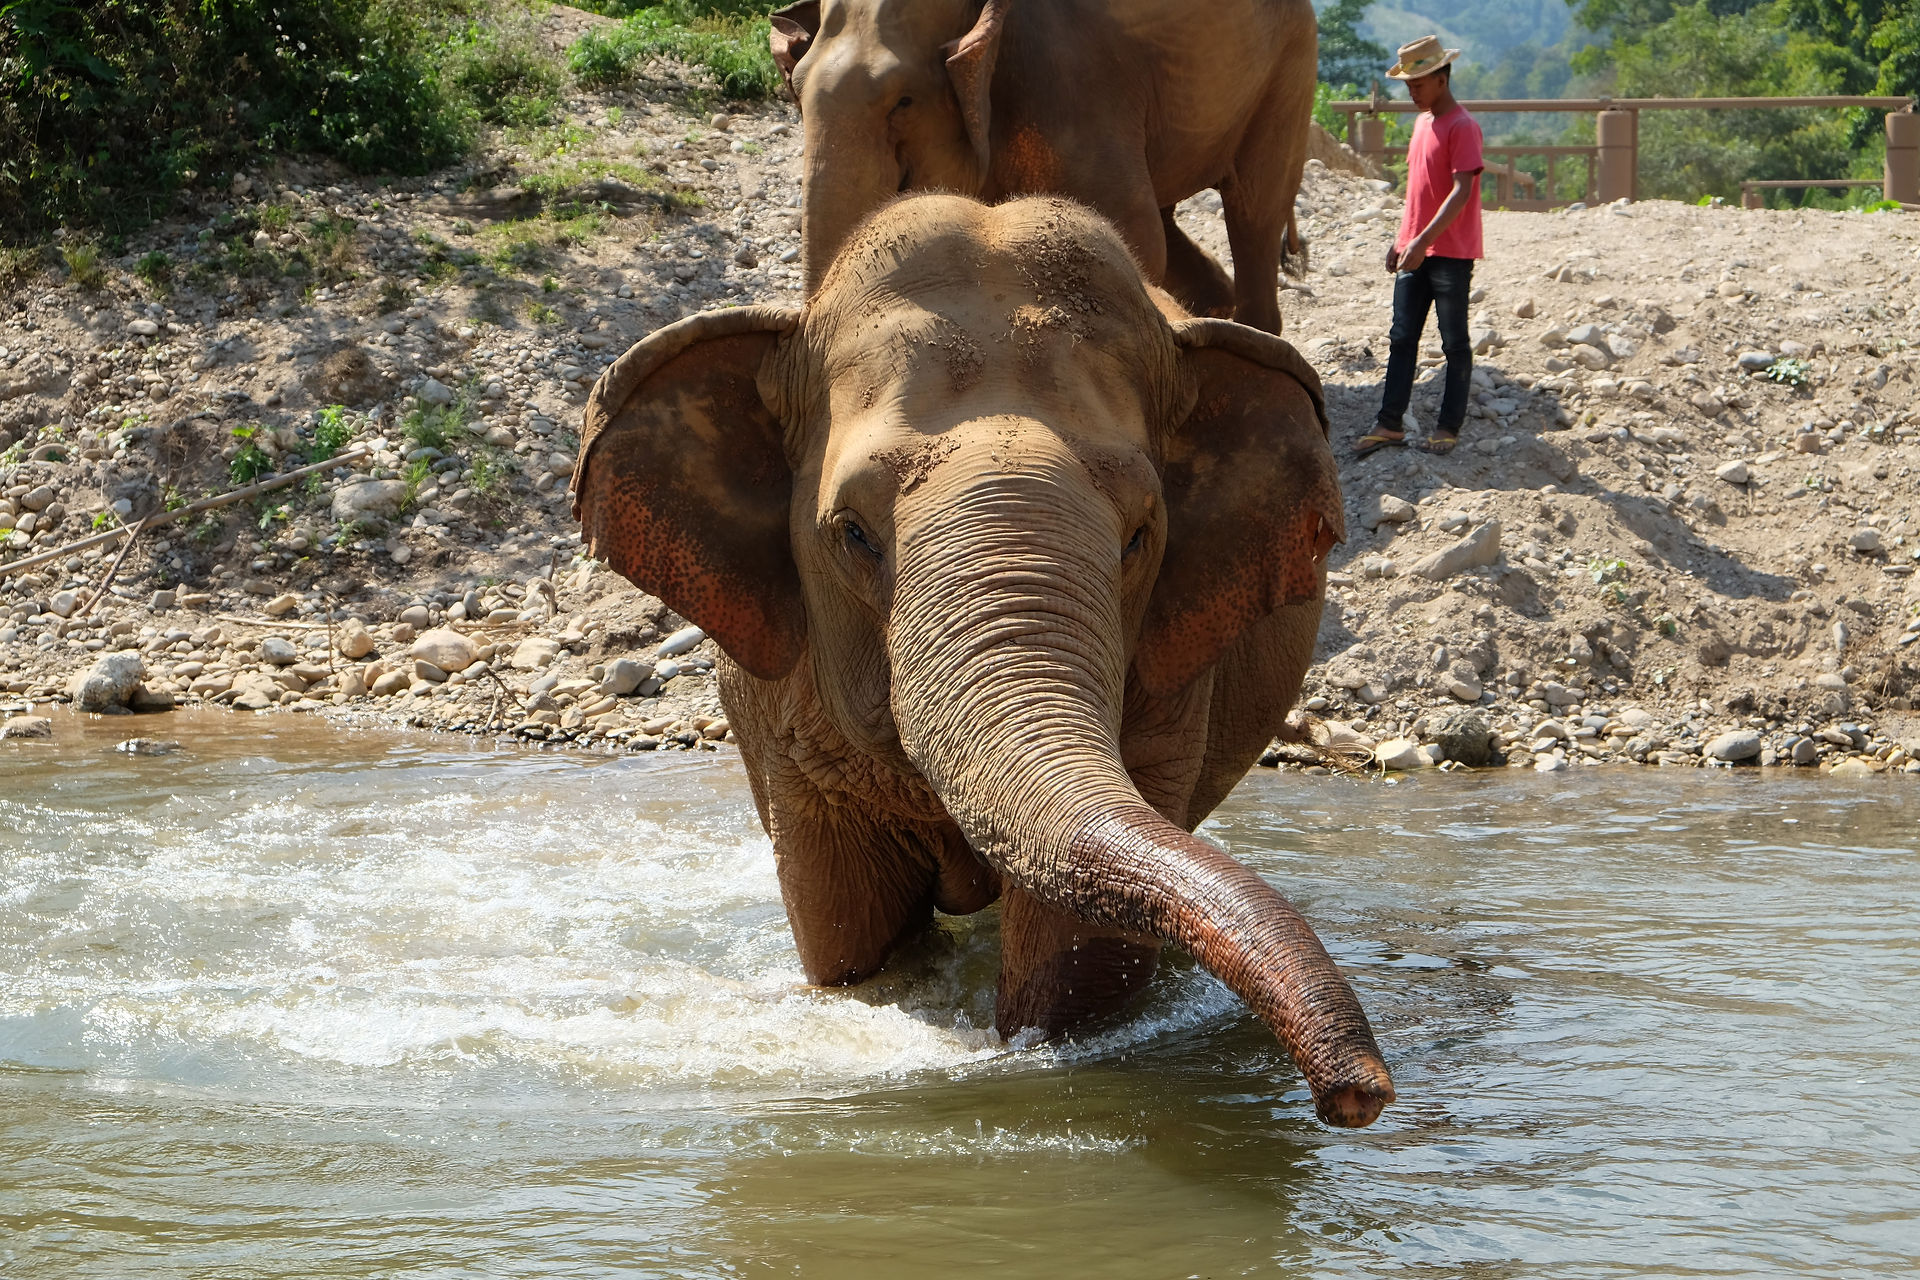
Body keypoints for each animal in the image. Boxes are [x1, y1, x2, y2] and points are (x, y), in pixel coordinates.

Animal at [572, 193, 1393, 1127]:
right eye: (852, 534)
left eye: (1139, 536)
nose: (1357, 1097)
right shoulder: (788, 707)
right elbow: (845, 930)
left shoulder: (1171, 683)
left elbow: (1074, 949)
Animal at [767, 0, 1317, 334]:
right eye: (796, 87)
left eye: (903, 101)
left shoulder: (1068, 82)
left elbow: (1131, 238)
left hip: (1289, 67)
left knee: (1253, 211)